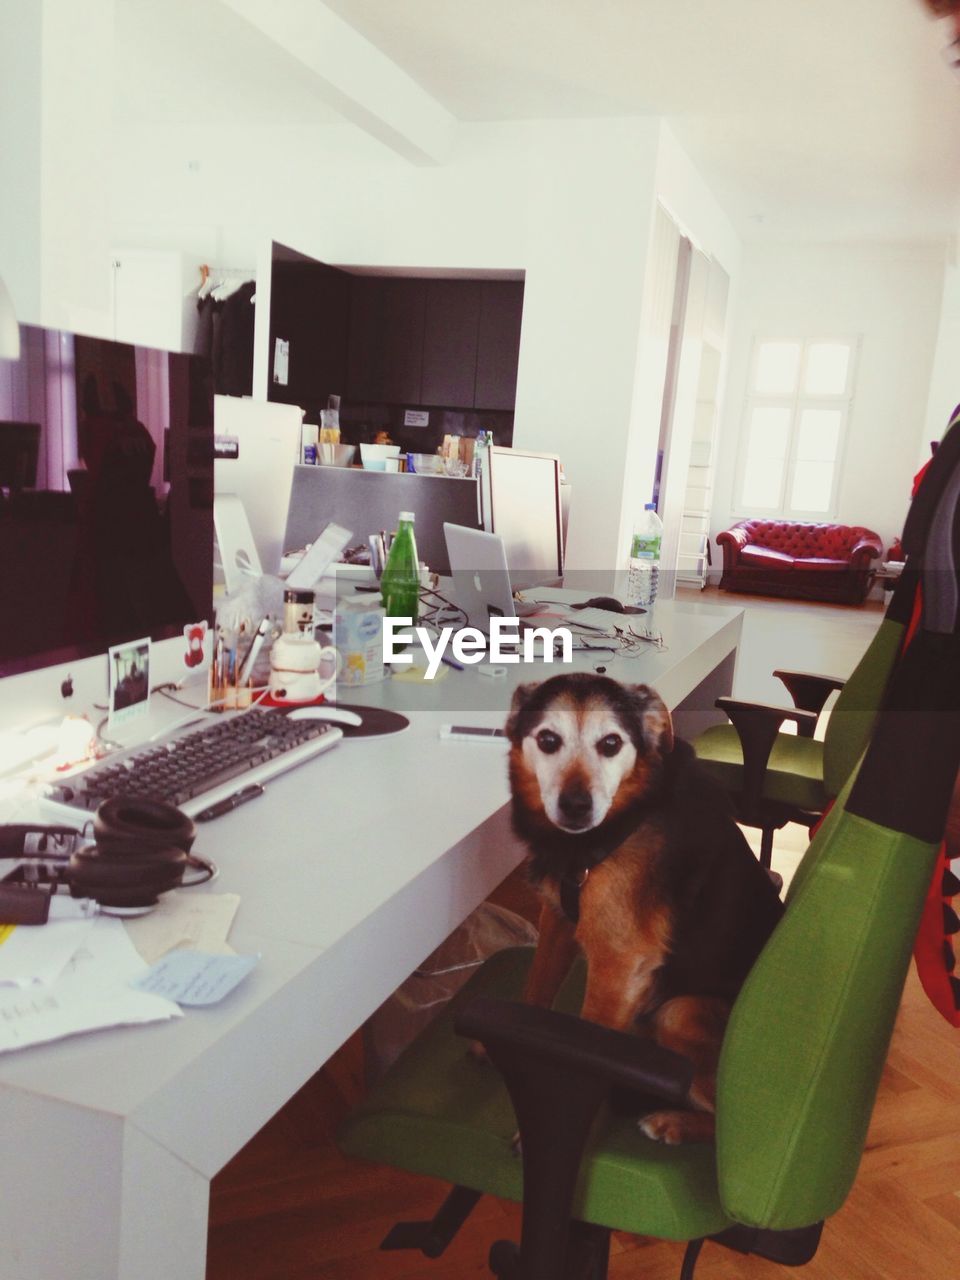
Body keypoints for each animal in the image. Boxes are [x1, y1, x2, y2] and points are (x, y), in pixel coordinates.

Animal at [506, 670, 783, 1141]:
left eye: (611, 743)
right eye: (547, 739)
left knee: (740, 1132)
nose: (576, 807)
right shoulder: (558, 920)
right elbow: (535, 988)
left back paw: (672, 1121)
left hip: (679, 1012)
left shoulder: (617, 965)